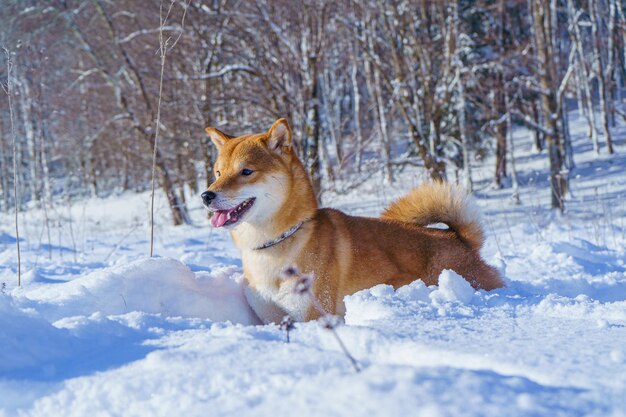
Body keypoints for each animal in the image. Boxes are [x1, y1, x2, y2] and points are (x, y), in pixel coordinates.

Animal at [200, 118, 502, 324]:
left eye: (246, 171)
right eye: (218, 172)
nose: (206, 195)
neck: (275, 243)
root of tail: (458, 238)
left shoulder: (314, 314)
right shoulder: (273, 317)